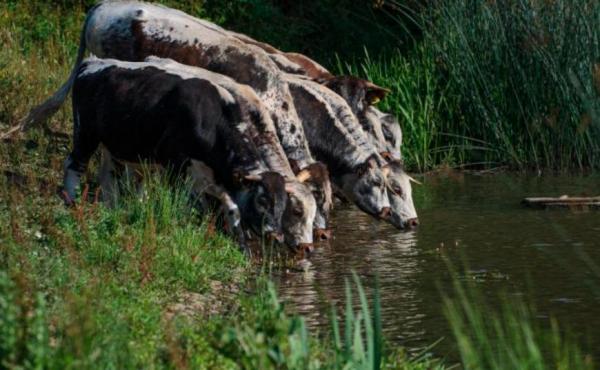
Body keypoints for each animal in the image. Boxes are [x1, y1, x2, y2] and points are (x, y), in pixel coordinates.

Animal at [64, 57, 318, 251]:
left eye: (284, 205)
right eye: (262, 199)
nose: (275, 234)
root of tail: (93, 62)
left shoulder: (211, 176)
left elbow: (232, 208)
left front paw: (242, 246)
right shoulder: (174, 165)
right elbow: (183, 202)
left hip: (114, 145)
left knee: (108, 175)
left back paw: (111, 207)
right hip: (85, 132)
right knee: (74, 163)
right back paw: (71, 200)